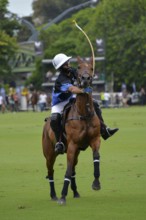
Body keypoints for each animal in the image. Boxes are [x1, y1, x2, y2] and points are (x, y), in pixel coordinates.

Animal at [42, 56, 101, 205]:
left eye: (91, 67)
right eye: (79, 67)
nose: (85, 79)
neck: (83, 114)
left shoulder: (94, 139)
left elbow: (96, 157)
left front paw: (96, 183)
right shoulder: (72, 145)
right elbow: (67, 170)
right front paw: (63, 196)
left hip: (76, 152)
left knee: (73, 169)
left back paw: (75, 192)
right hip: (50, 153)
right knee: (50, 171)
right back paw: (54, 195)